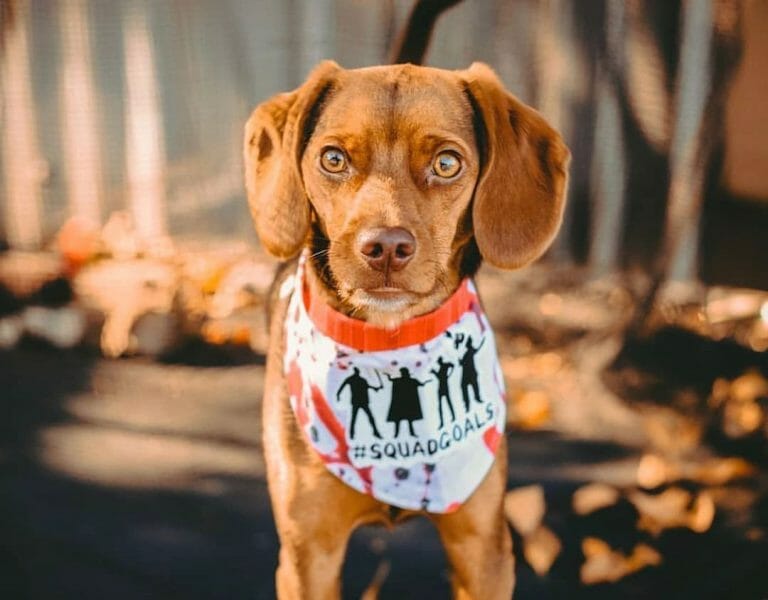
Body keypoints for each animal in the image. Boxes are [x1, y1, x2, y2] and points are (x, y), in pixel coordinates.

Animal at [243, 58, 568, 596]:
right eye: (333, 159)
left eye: (446, 164)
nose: (386, 248)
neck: (389, 338)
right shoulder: (308, 558)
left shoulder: (483, 552)